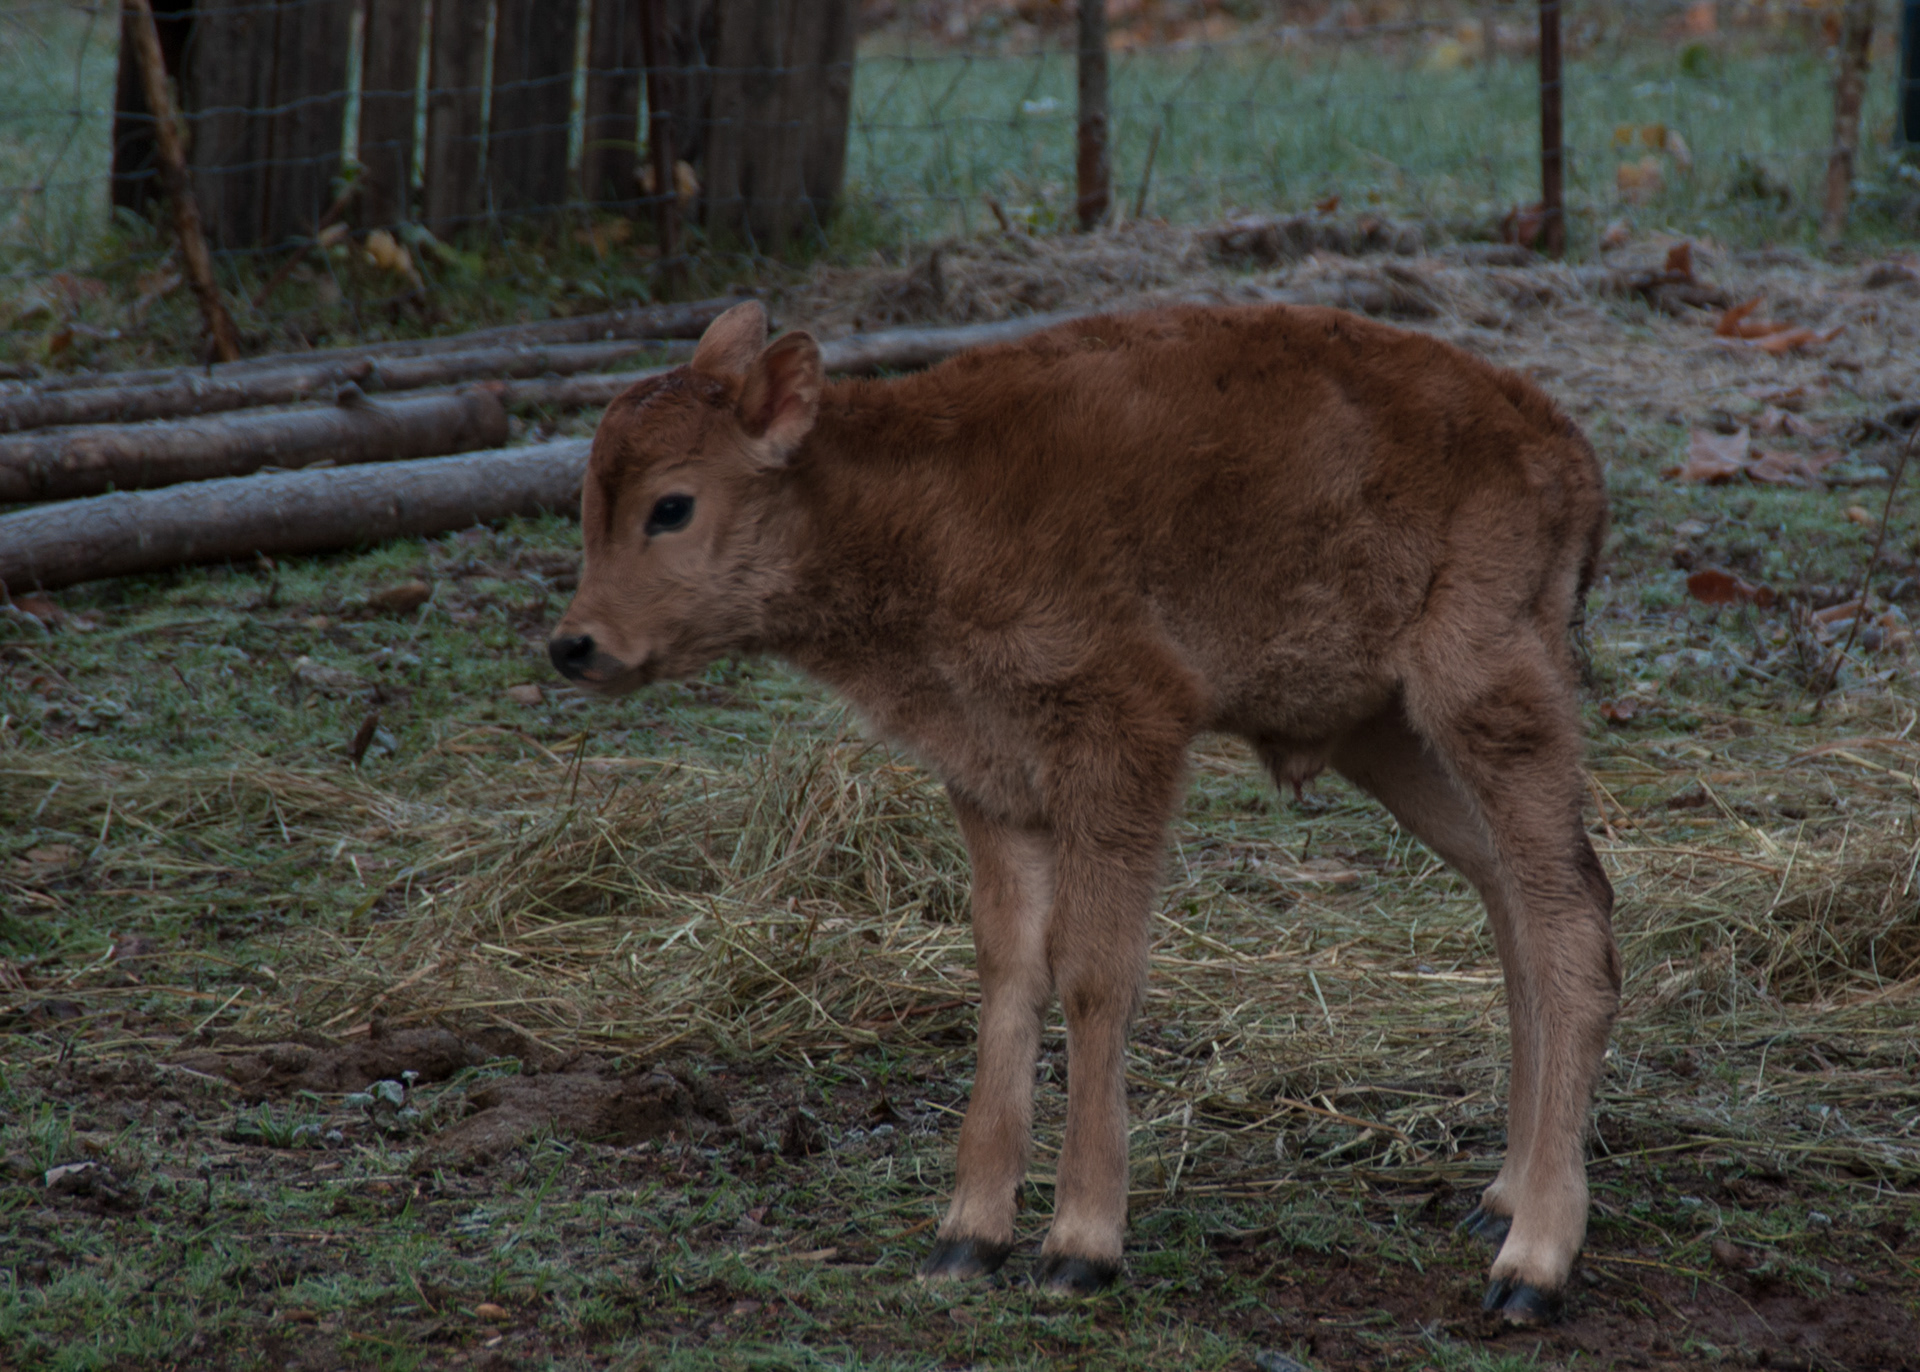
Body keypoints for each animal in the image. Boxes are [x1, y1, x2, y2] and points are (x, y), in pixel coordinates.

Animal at [548, 299, 1619, 1324]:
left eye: (672, 506)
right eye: (590, 503)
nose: (575, 645)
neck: (909, 504)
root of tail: (1567, 448)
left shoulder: (1122, 739)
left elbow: (1097, 973)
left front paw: (1078, 1248)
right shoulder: (991, 778)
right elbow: (1010, 970)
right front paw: (965, 1239)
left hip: (1485, 692)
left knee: (1568, 915)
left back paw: (1533, 1263)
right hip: (1390, 735)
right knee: (1517, 898)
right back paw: (1502, 1194)